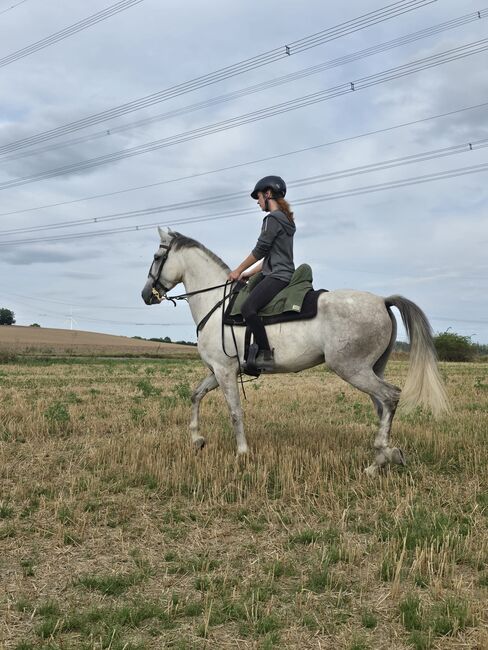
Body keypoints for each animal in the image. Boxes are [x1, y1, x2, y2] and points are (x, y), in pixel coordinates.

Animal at [142, 225, 450, 474]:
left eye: (157, 257)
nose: (146, 295)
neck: (218, 303)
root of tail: (383, 301)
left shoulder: (224, 370)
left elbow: (234, 411)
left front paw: (242, 452)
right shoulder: (217, 371)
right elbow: (196, 395)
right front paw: (197, 439)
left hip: (353, 369)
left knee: (390, 397)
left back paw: (378, 461)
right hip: (372, 369)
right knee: (382, 405)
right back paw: (386, 456)